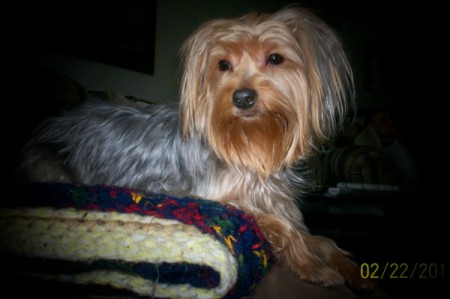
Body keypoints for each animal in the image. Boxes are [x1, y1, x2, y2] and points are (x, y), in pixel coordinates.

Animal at [17, 6, 374, 292]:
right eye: (223, 65)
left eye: (275, 58)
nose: (242, 97)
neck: (252, 144)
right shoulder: (209, 197)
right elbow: (284, 229)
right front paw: (315, 268)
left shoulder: (280, 204)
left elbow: (322, 240)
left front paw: (355, 272)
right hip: (47, 164)